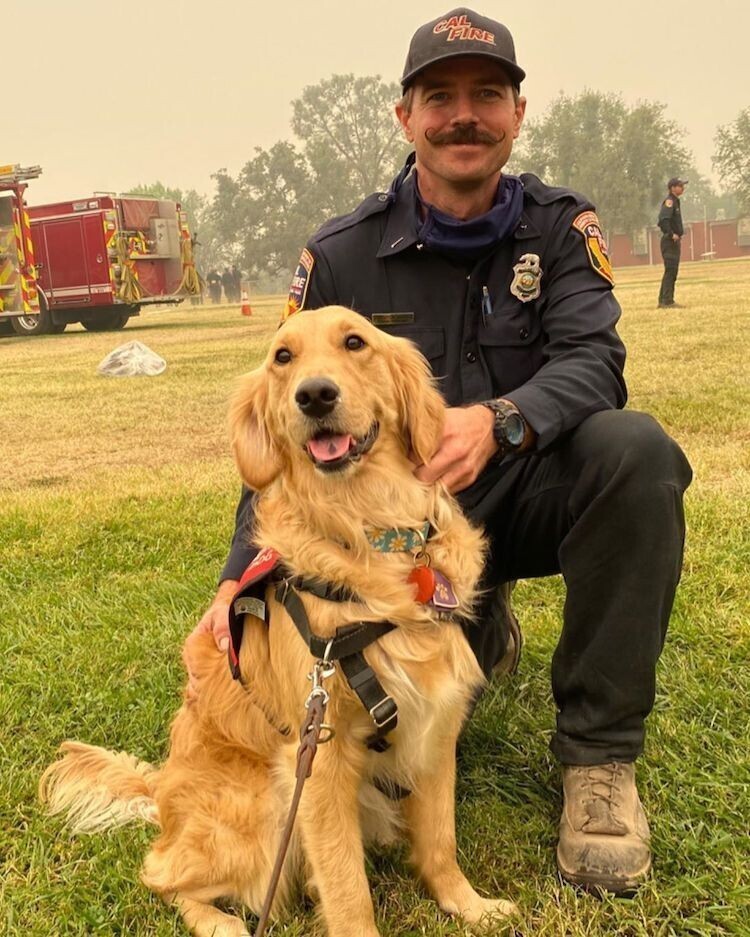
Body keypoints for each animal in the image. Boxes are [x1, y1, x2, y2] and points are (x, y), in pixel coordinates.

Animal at [39, 308, 516, 936]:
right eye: (282, 357)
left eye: (355, 342)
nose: (314, 395)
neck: (369, 529)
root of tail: (161, 787)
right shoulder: (318, 757)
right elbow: (347, 887)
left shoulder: (434, 721)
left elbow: (439, 840)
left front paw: (469, 905)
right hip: (264, 807)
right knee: (159, 873)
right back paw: (222, 923)